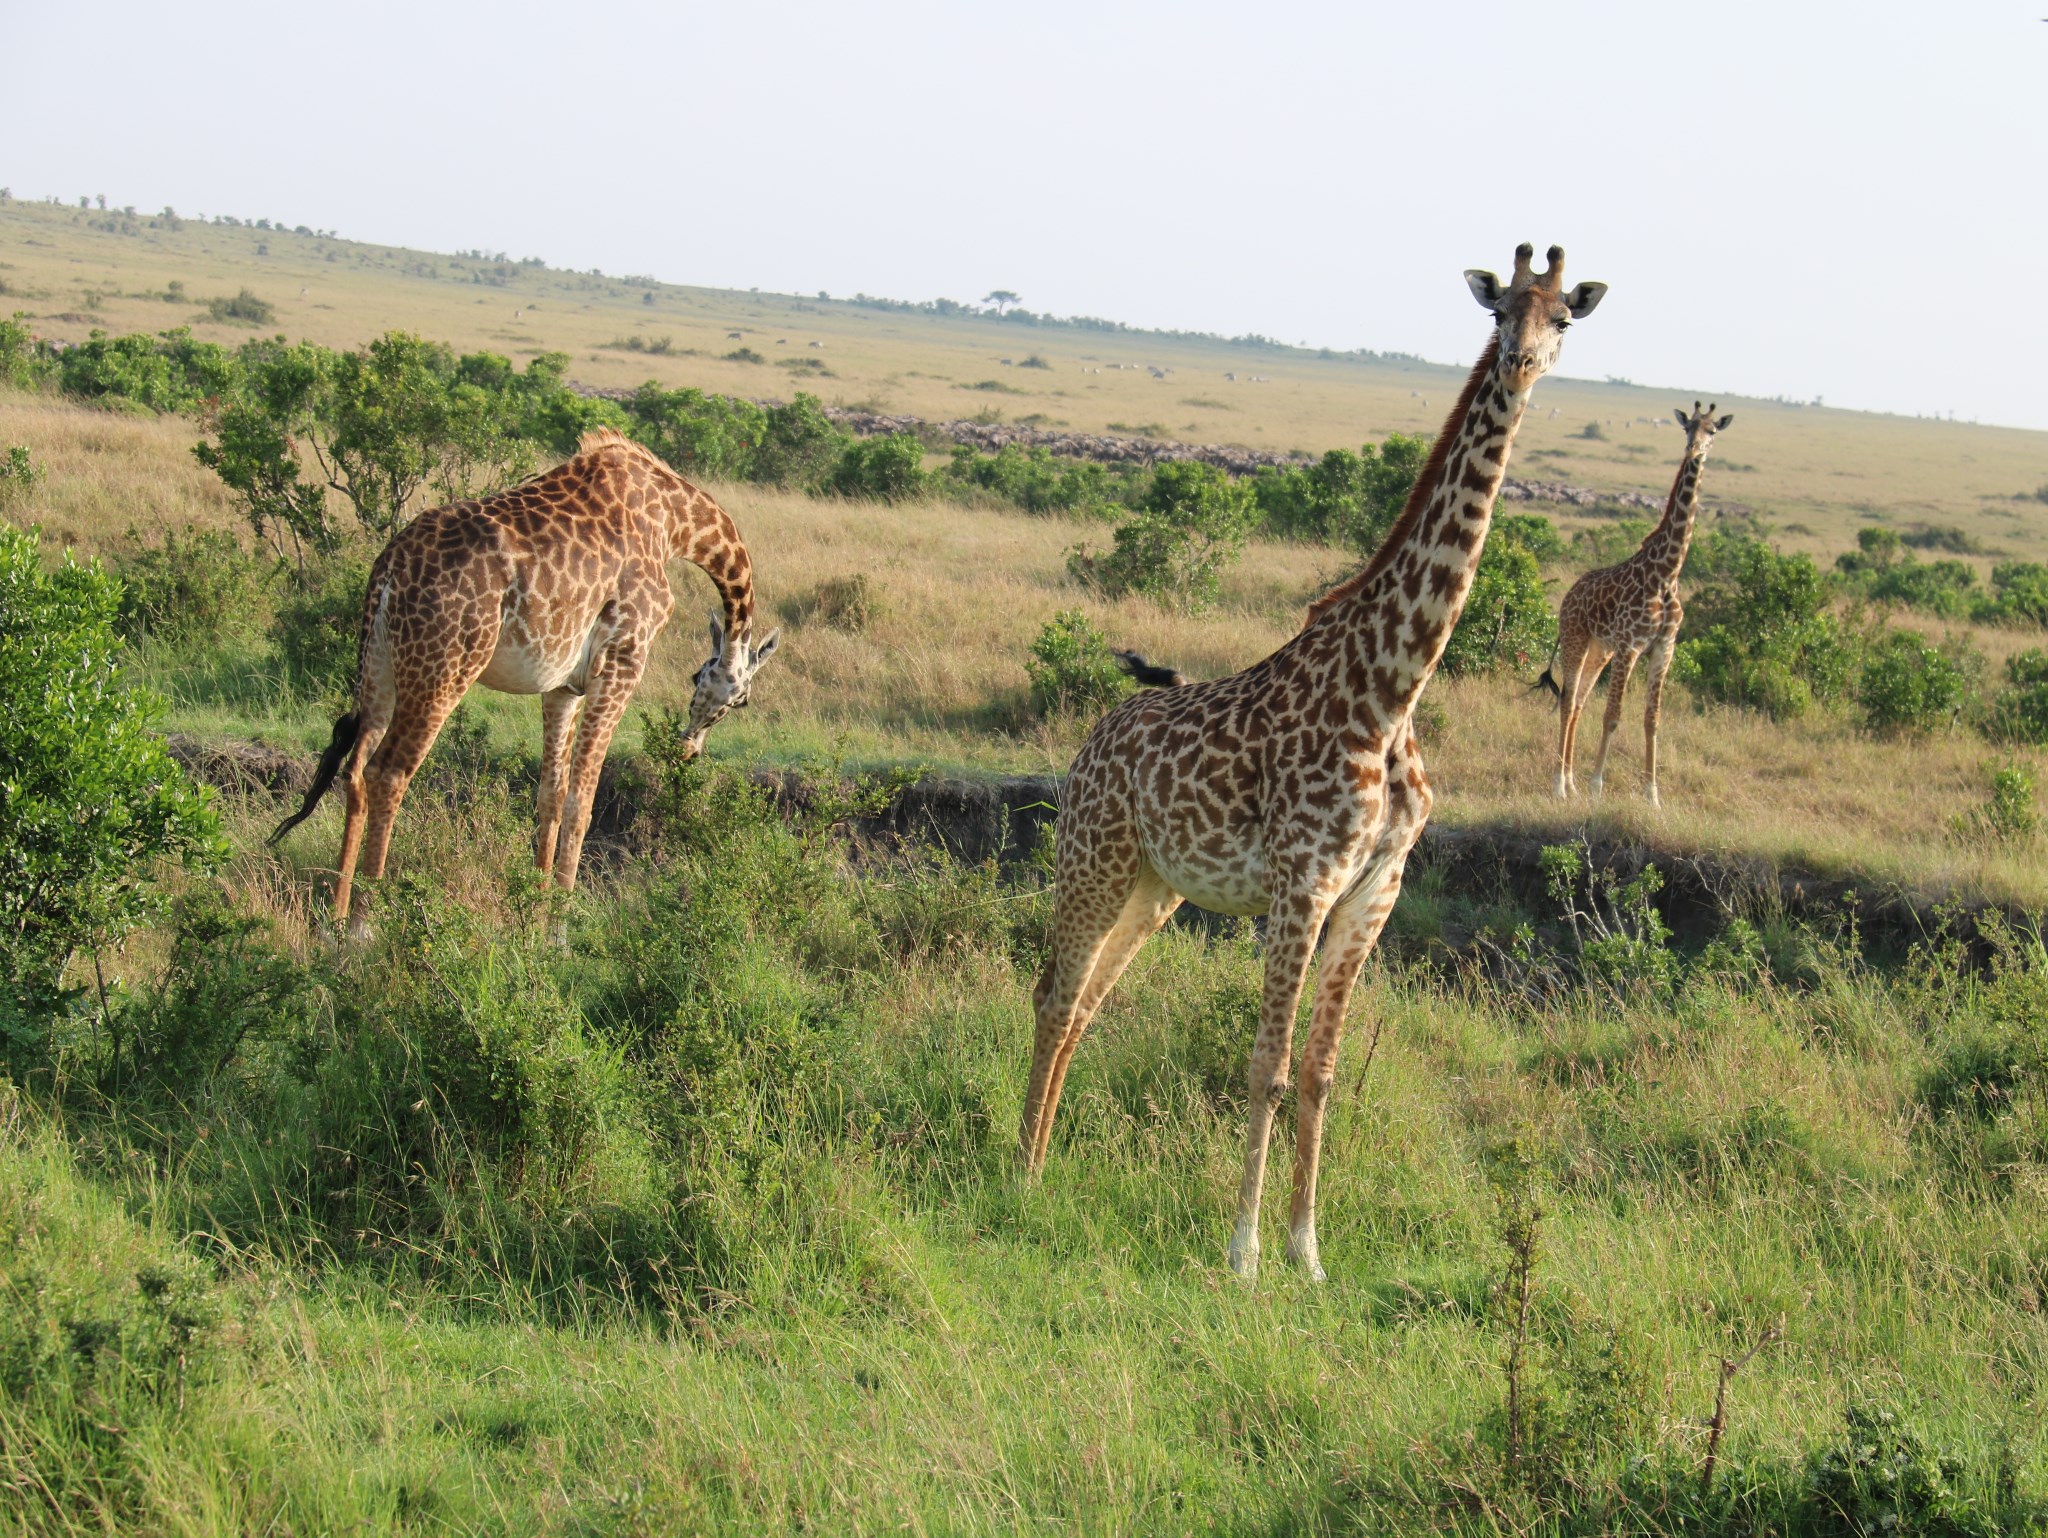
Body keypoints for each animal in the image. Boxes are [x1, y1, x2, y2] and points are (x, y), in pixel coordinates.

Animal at [268, 428, 778, 933]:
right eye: (742, 701)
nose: (689, 749)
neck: (672, 522)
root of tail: (389, 567)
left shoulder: (563, 686)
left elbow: (550, 795)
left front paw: (534, 915)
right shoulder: (622, 660)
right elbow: (582, 800)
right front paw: (560, 928)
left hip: (378, 668)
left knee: (355, 770)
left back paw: (336, 915)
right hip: (444, 667)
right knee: (389, 772)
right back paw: (363, 924)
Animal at [1015, 243, 1605, 1277]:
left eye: (1563, 318)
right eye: (1499, 311)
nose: (1522, 364)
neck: (1392, 690)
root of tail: (1092, 739)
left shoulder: (1377, 888)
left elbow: (1323, 1072)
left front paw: (1308, 1251)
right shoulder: (1304, 883)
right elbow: (1267, 1065)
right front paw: (1244, 1253)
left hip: (1156, 887)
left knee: (1084, 1003)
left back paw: (1044, 1167)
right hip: (1092, 859)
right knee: (1054, 993)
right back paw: (1014, 1171)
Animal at [1540, 403, 1736, 806]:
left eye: (1712, 431)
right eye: (1689, 427)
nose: (1694, 449)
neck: (1667, 572)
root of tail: (1568, 595)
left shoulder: (1664, 647)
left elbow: (1652, 719)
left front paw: (1652, 795)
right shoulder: (1631, 645)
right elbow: (1613, 714)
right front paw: (1597, 787)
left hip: (1601, 650)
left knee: (1579, 703)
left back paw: (1570, 782)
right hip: (1576, 639)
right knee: (1567, 700)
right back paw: (1559, 785)